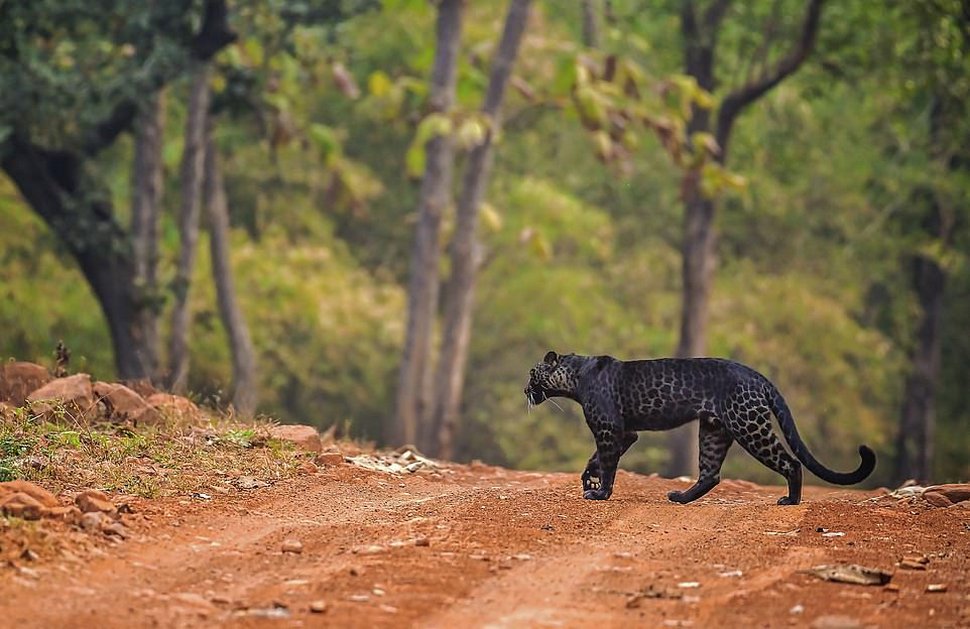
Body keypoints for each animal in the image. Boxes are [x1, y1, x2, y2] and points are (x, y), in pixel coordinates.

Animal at [524, 351, 875, 505]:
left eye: (531, 373)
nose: (524, 389)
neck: (575, 377)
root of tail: (756, 375)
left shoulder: (610, 429)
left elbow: (608, 462)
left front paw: (600, 493)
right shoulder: (626, 433)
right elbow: (596, 458)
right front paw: (589, 479)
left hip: (749, 425)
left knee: (791, 462)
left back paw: (791, 501)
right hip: (714, 430)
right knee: (711, 473)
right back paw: (681, 497)